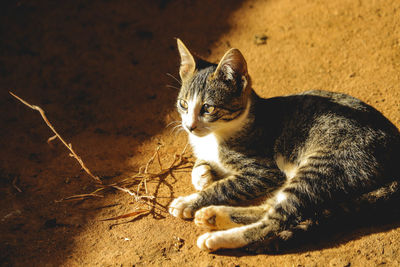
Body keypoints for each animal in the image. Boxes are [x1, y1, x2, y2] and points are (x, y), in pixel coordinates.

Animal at [167, 38, 398, 252]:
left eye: (208, 108)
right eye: (183, 104)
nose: (189, 126)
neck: (215, 135)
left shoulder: (263, 171)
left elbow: (224, 186)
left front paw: (190, 201)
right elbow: (200, 164)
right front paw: (202, 176)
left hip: (322, 168)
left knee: (277, 220)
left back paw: (217, 237)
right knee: (273, 206)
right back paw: (213, 216)